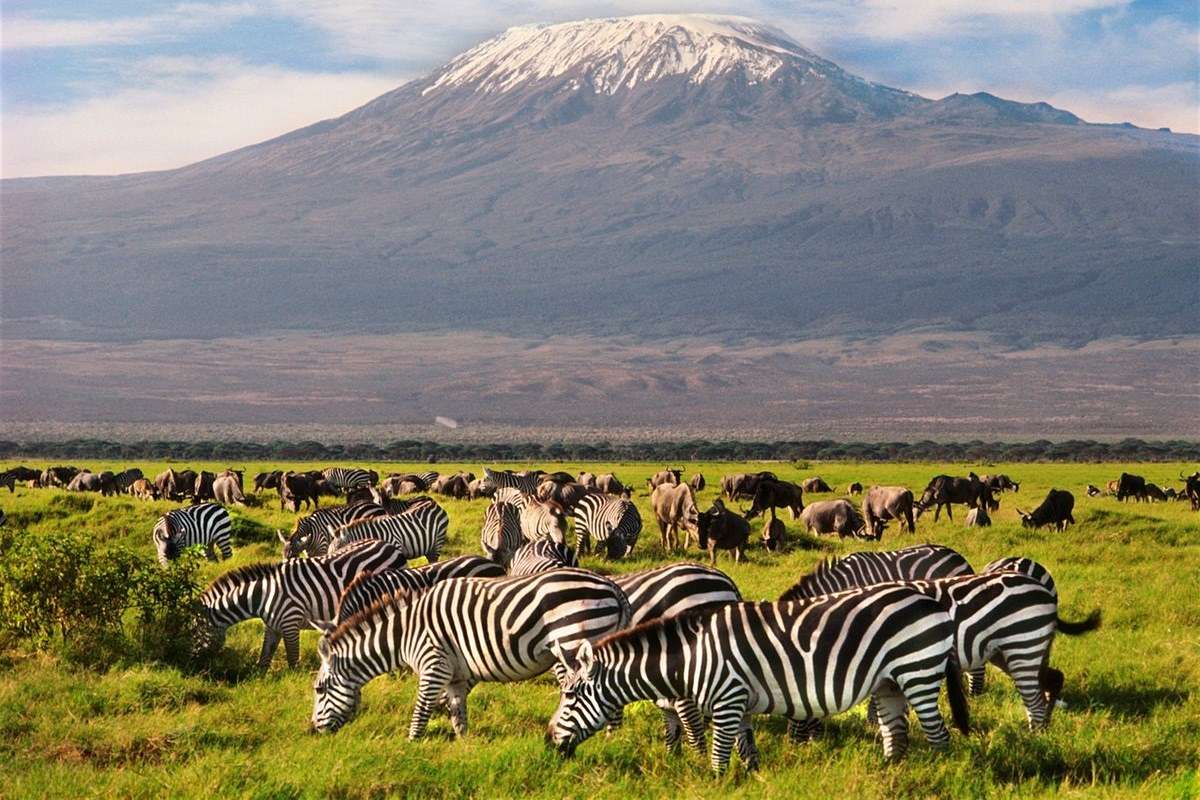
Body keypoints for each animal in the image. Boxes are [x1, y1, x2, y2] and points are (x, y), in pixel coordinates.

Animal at [194, 537, 405, 671]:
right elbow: (265, 657)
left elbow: (292, 659)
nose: (196, 666)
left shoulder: (290, 622)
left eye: (194, 631)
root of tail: (391, 546)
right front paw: (259, 680)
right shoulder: (272, 626)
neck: (262, 595)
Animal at [309, 568, 633, 738]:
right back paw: (612, 740)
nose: (312, 731)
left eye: (319, 689)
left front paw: (411, 746)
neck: (404, 634)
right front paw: (464, 749)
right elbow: (457, 713)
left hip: (575, 640)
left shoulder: (433, 664)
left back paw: (609, 741)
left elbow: (421, 711)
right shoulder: (455, 676)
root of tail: (610, 584)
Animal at [549, 585, 969, 772]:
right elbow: (746, 749)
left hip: (917, 671)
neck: (692, 656)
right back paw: (887, 774)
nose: (548, 742)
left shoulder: (727, 698)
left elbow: (719, 755)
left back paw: (942, 770)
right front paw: (751, 778)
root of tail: (930, 600)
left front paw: (716, 784)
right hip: (888, 682)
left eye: (570, 696)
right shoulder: (742, 704)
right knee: (895, 733)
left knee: (938, 735)